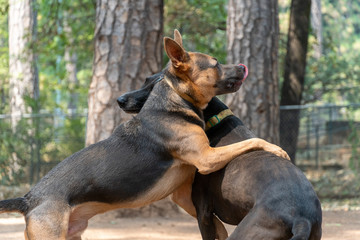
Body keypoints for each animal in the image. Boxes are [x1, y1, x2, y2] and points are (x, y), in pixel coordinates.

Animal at [0, 30, 290, 240]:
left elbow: (217, 227)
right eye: (216, 63)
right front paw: (277, 148)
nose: (242, 66)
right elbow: (252, 141)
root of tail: (29, 199)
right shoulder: (206, 158)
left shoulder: (184, 194)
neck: (175, 101)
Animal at [119, 70, 324, 239]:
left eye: (154, 89)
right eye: (146, 80)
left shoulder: (203, 212)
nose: (120, 99)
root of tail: (301, 220)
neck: (215, 122)